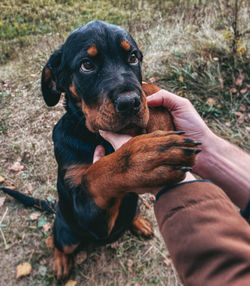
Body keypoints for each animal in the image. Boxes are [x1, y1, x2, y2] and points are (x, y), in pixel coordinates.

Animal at [0, 20, 199, 282]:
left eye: (133, 57)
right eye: (87, 65)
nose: (130, 103)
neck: (92, 135)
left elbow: (147, 86)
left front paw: (155, 113)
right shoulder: (89, 214)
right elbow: (96, 174)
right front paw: (147, 158)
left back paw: (139, 224)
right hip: (68, 231)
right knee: (57, 242)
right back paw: (62, 265)